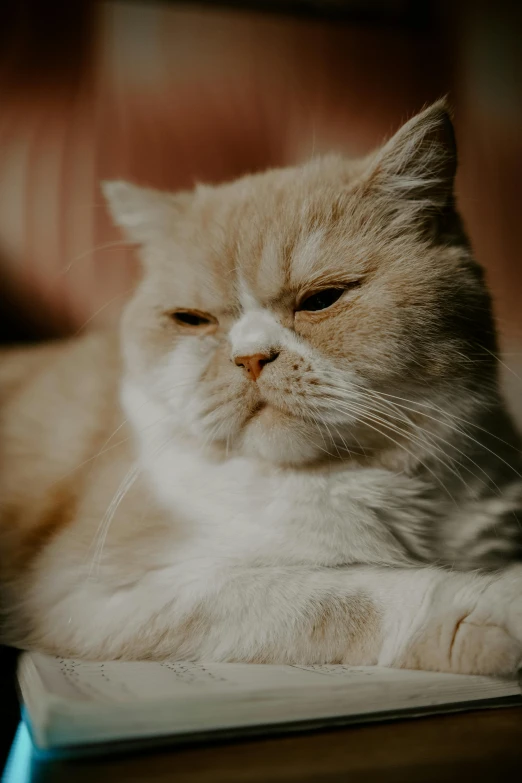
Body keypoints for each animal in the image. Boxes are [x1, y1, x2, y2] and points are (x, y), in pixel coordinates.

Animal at [1, 99, 520, 672]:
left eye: (321, 300)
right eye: (192, 320)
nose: (249, 357)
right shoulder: (114, 593)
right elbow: (348, 592)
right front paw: (494, 603)